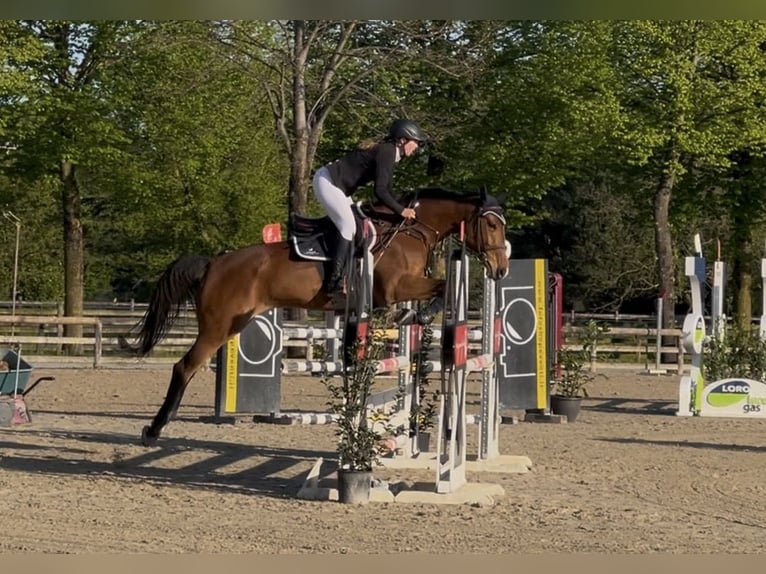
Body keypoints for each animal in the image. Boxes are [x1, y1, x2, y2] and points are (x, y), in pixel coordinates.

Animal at [120, 186, 510, 446]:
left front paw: (414, 317)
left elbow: (438, 289)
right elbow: (442, 287)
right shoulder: (394, 288)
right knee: (184, 367)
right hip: (217, 327)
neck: (412, 230)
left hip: (234, 323)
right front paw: (416, 315)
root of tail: (215, 262)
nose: (501, 269)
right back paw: (154, 430)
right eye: (492, 226)